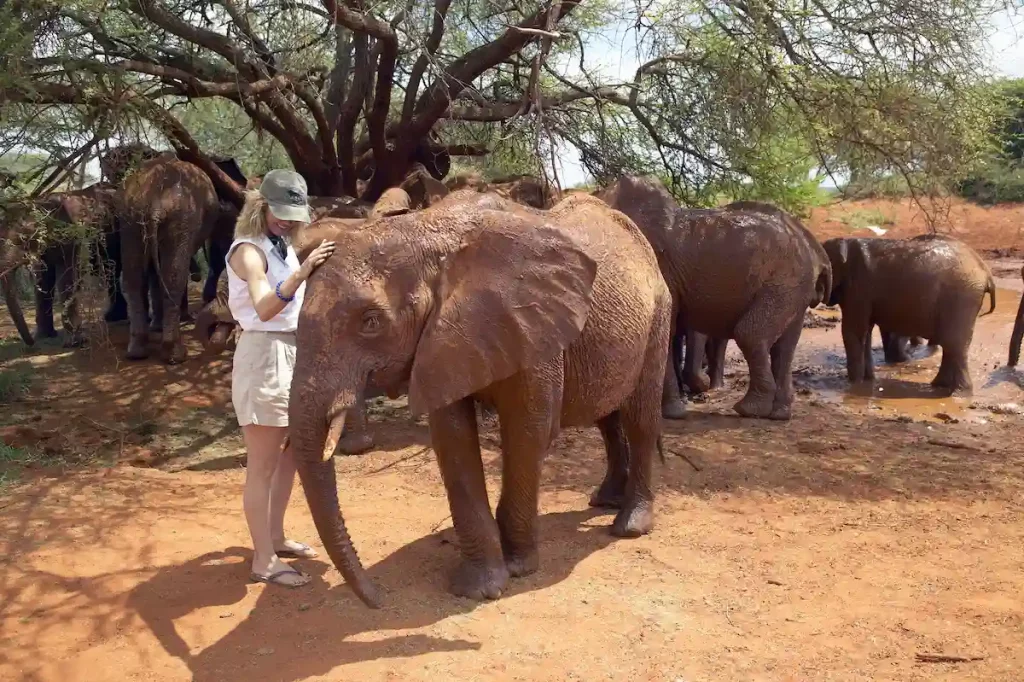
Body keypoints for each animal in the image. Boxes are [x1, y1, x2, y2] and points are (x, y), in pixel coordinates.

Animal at [284, 190, 672, 608]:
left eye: (370, 322)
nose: (379, 599)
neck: (423, 232)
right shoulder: (437, 340)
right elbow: (452, 438)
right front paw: (479, 587)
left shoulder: (531, 324)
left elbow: (528, 431)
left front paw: (518, 566)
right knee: (607, 416)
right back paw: (604, 500)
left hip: (659, 314)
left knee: (639, 416)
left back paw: (629, 525)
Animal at [595, 177, 832, 421]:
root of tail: (814, 251)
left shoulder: (663, 269)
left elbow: (666, 329)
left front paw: (672, 413)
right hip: (793, 288)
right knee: (783, 348)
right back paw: (778, 414)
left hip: (784, 283)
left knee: (751, 334)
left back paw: (749, 409)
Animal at [822, 235, 996, 394]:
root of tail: (985, 271)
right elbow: (864, 332)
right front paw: (867, 382)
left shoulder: (857, 288)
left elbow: (852, 332)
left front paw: (855, 385)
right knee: (952, 347)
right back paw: (940, 387)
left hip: (961, 297)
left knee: (953, 344)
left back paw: (957, 393)